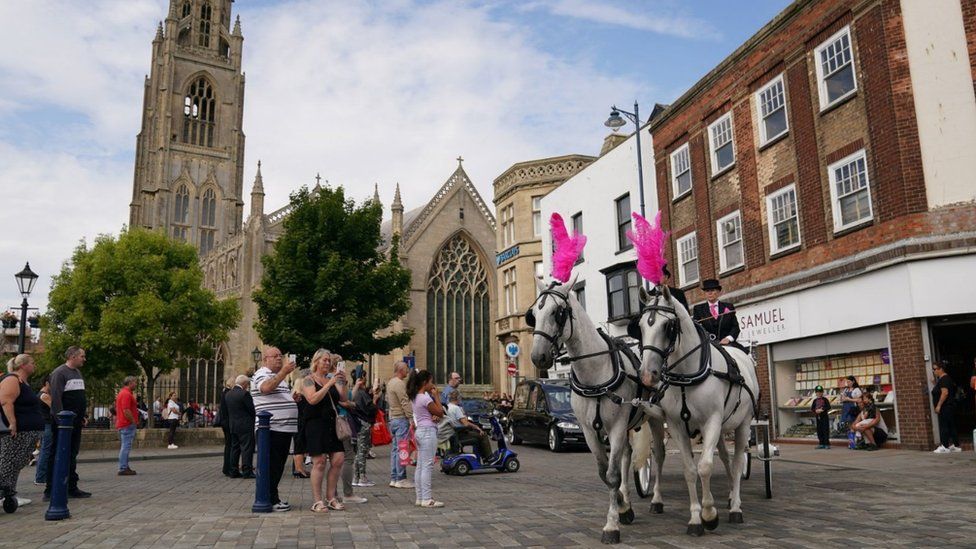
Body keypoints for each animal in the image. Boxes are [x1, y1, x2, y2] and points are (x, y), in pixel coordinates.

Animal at [528, 276, 672, 540]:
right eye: (534, 313)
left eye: (558, 312)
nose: (538, 356)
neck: (594, 373)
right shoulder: (589, 430)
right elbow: (604, 472)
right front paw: (623, 509)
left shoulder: (615, 427)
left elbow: (612, 475)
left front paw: (612, 525)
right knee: (627, 456)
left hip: (655, 418)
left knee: (658, 455)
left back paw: (656, 500)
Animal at [632, 286, 764, 536]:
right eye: (641, 326)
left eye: (668, 326)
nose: (647, 375)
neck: (687, 374)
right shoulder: (677, 426)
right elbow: (690, 470)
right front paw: (695, 518)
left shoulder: (711, 421)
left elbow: (705, 467)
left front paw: (710, 513)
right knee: (716, 457)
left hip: (742, 424)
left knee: (737, 461)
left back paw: (735, 506)